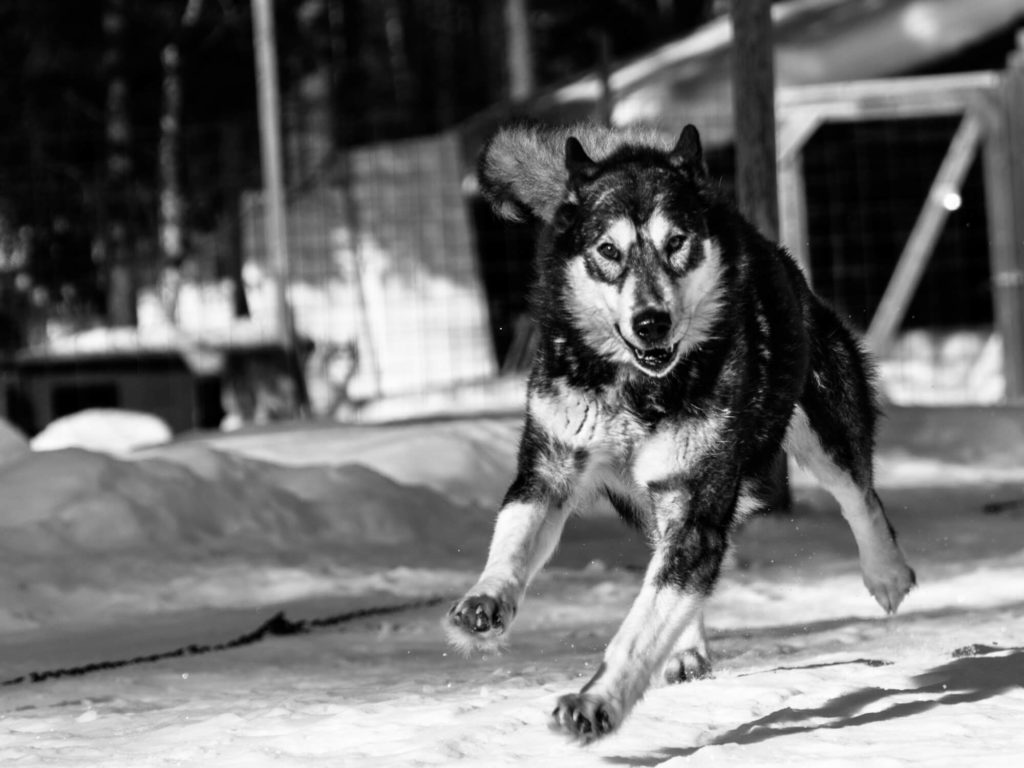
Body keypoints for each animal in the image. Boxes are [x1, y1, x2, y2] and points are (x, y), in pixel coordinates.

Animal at [444, 124, 917, 745]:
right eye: (609, 251)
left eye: (677, 242)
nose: (651, 322)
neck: (637, 390)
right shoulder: (549, 468)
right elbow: (516, 542)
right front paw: (487, 601)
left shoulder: (695, 504)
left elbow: (639, 628)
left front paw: (597, 702)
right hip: (639, 498)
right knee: (664, 564)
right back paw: (686, 648)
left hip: (822, 424)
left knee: (859, 495)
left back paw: (886, 571)